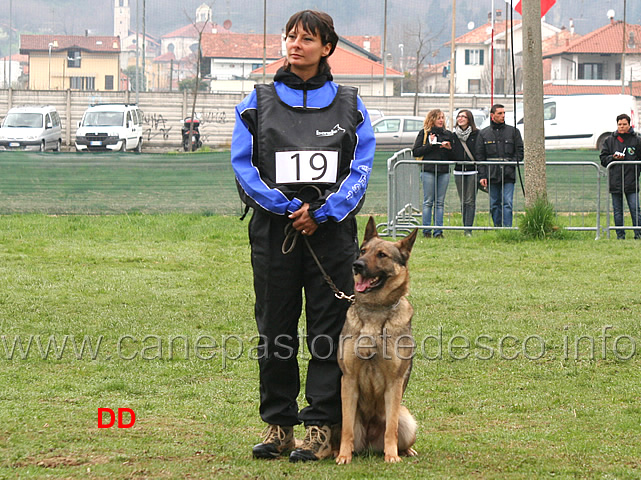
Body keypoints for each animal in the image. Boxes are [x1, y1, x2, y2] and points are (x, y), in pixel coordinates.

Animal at [336, 218, 420, 464]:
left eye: (382, 255)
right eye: (363, 251)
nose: (357, 265)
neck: (375, 310)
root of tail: (370, 445)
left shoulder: (394, 383)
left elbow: (390, 429)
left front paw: (391, 456)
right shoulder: (349, 380)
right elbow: (347, 430)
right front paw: (343, 456)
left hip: (406, 419)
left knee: (396, 432)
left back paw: (404, 451)